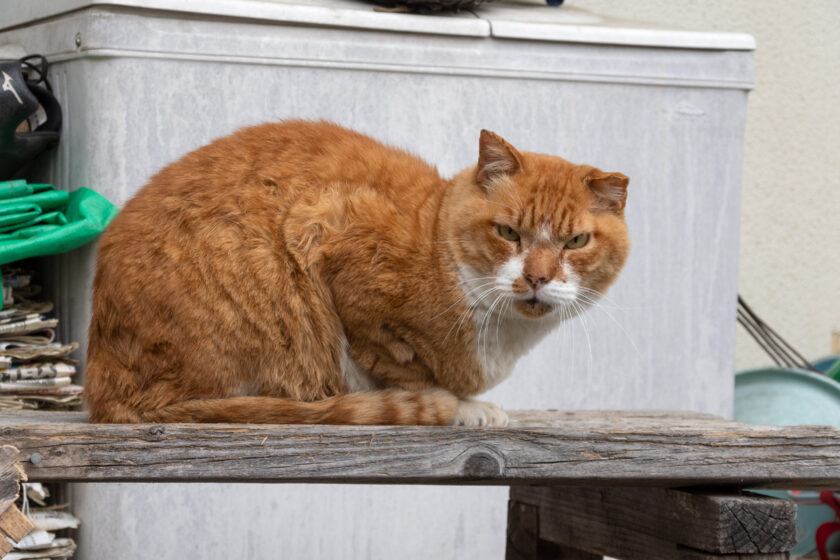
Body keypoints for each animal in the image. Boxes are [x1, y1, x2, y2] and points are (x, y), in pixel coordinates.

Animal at [85, 119, 628, 424]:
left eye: (575, 242)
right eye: (509, 233)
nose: (537, 277)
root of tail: (101, 385)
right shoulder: (330, 236)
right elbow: (407, 373)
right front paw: (462, 408)